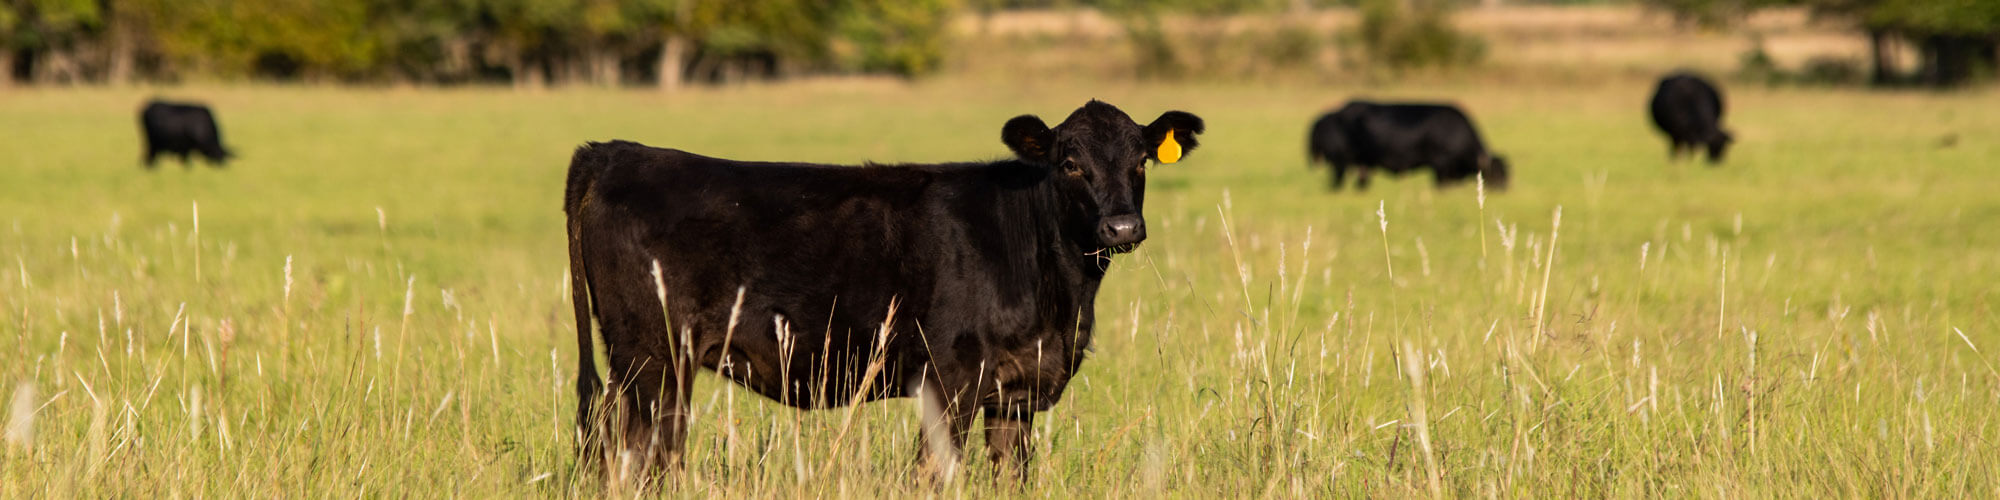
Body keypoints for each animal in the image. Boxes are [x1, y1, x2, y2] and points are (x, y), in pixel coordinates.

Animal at [564, 99, 1200, 478]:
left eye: (1142, 160)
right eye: (1070, 163)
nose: (1122, 228)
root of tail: (614, 151)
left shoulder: (1017, 392)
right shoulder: (950, 380)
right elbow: (933, 474)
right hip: (653, 360)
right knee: (642, 458)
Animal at [1304, 100, 1504, 190]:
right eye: (1497, 173)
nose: (1504, 190)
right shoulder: (1440, 162)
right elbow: (1439, 184)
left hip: (1360, 164)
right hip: (1340, 162)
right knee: (1338, 181)